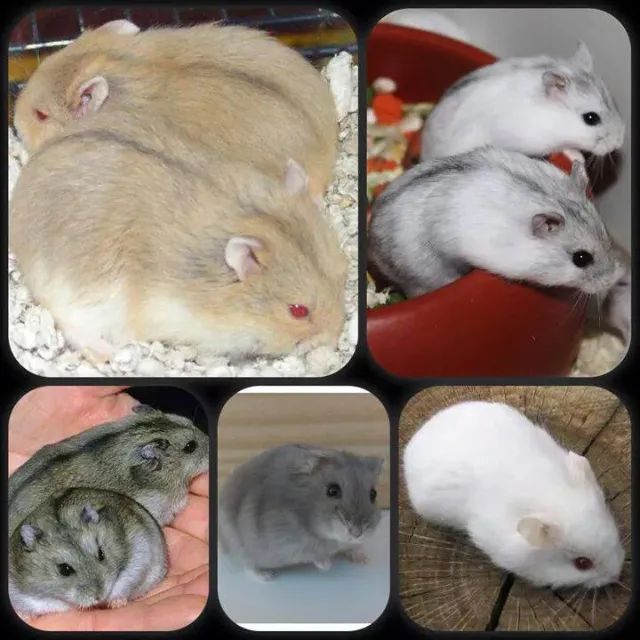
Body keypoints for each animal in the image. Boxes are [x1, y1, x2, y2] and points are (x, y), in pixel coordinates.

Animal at [9, 123, 347, 361]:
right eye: (298, 311)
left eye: (342, 273)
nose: (336, 338)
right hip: (80, 296)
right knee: (72, 325)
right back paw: (112, 354)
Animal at [10, 487, 167, 617]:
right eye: (64, 570)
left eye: (101, 554)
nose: (99, 597)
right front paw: (26, 616)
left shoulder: (139, 556)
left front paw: (116, 604)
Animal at [219, 444, 384, 579]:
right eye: (332, 491)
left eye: (373, 494)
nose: (357, 533)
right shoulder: (292, 543)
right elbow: (313, 552)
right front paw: (326, 566)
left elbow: (354, 547)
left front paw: (365, 560)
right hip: (239, 548)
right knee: (249, 567)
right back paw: (267, 576)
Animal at [421, 42, 624, 161]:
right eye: (591, 118)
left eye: (614, 100)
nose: (619, 143)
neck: (555, 119)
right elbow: (564, 147)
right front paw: (578, 158)